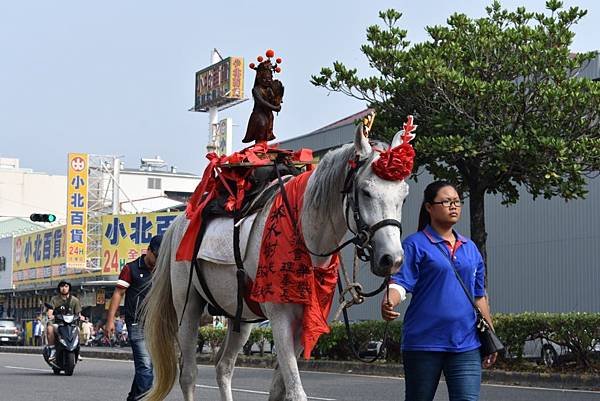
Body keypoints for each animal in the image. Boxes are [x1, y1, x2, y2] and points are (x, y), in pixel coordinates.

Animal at [143, 125, 410, 400]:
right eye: (366, 192)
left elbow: (279, 389)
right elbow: (295, 392)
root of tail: (179, 221)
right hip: (188, 305)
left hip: (241, 315)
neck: (303, 235)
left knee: (223, 367)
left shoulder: (304, 320)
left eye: (403, 196)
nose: (392, 259)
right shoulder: (280, 315)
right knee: (188, 374)